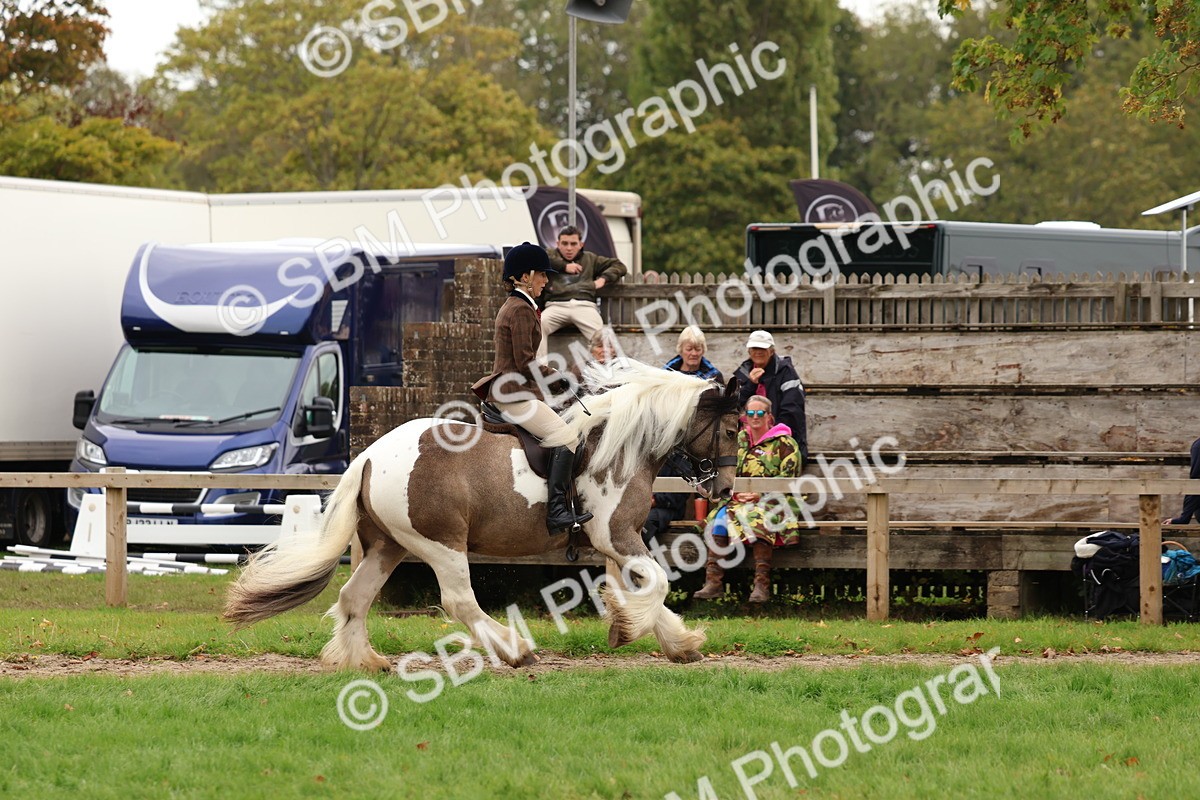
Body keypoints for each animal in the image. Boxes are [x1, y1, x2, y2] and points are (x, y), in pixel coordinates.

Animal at [223, 360, 740, 669]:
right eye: (735, 427)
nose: (725, 489)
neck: (616, 446)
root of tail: (369, 456)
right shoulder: (616, 535)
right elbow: (658, 581)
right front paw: (639, 630)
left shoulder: (616, 542)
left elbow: (637, 587)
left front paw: (672, 640)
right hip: (441, 543)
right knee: (459, 600)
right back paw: (515, 650)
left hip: (389, 546)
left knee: (355, 597)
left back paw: (365, 661)